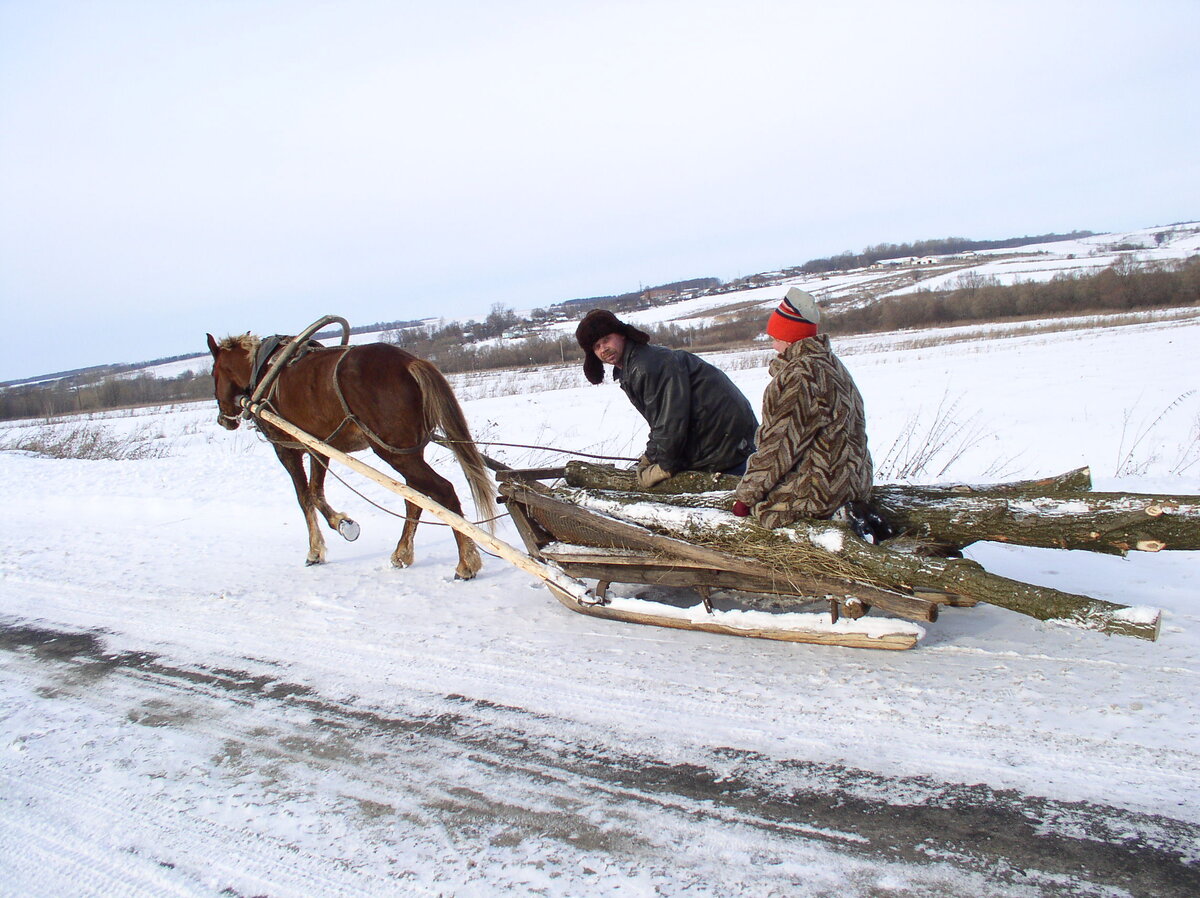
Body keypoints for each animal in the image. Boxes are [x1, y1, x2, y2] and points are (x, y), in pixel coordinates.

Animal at [204, 333, 494, 578]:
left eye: (213, 373)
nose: (223, 419)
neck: (264, 372)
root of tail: (409, 362)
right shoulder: (318, 447)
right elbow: (315, 492)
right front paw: (340, 526)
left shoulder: (287, 448)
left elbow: (304, 497)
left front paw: (324, 542)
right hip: (408, 451)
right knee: (416, 496)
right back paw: (402, 553)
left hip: (394, 452)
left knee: (442, 491)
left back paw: (466, 563)